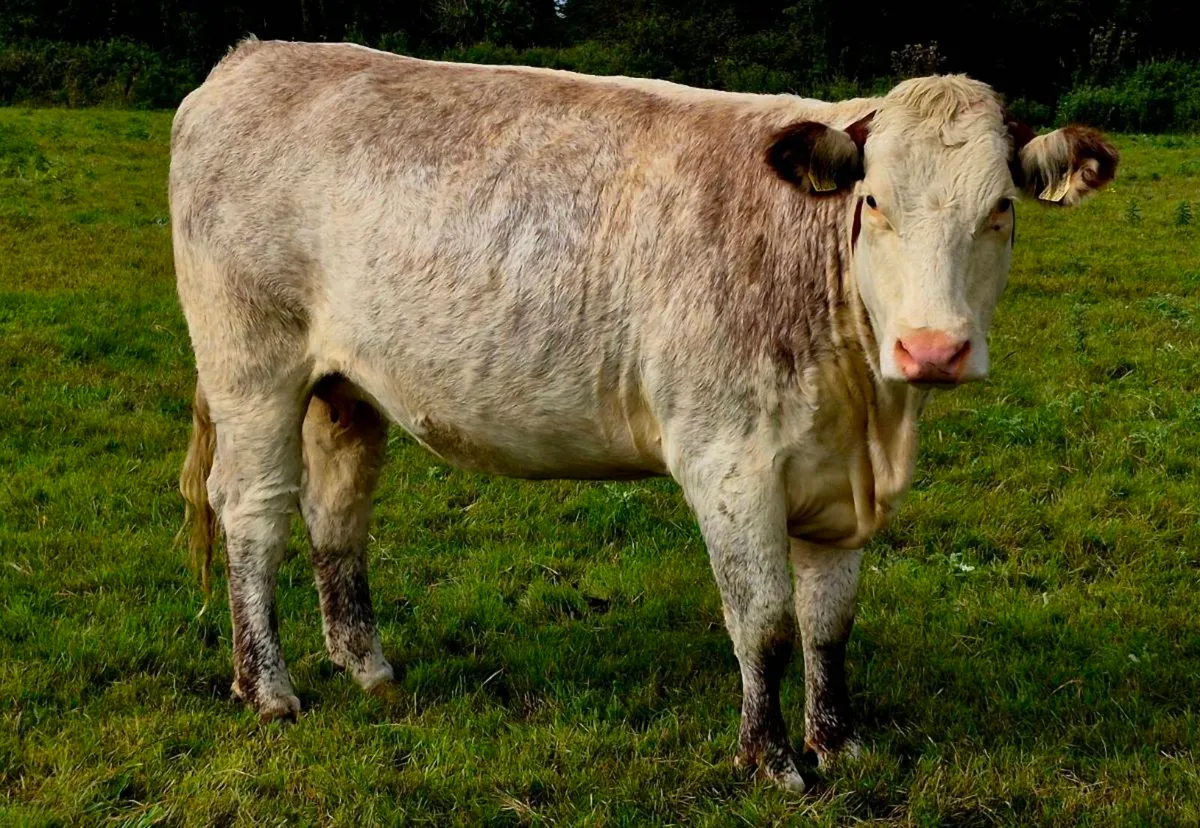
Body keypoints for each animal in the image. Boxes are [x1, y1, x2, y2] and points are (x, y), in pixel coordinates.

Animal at [173, 38, 1117, 791]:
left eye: (1000, 210)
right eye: (874, 203)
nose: (932, 349)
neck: (871, 422)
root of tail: (253, 57)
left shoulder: (835, 483)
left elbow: (829, 622)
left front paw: (837, 743)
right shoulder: (727, 461)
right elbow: (764, 622)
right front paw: (771, 759)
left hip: (346, 387)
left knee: (338, 511)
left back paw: (366, 665)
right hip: (251, 366)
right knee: (253, 512)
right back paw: (269, 689)